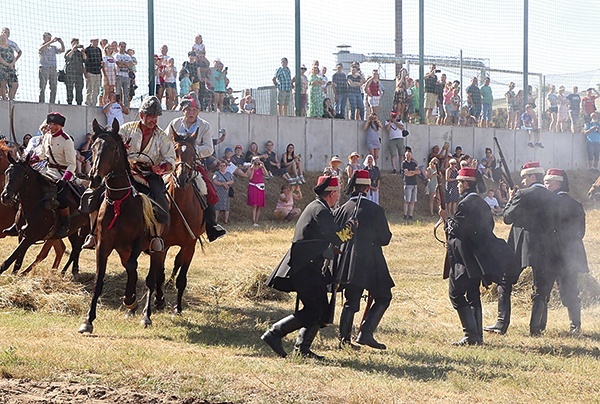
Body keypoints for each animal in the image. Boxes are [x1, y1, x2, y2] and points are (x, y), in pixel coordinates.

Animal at [0, 148, 87, 278]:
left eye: (23, 175)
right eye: (7, 172)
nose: (6, 197)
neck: (34, 205)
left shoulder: (30, 238)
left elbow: (10, 260)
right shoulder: (21, 235)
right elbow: (17, 262)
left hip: (86, 228)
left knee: (74, 249)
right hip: (71, 231)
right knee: (72, 247)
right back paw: (70, 270)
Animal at [78, 119, 165, 334]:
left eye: (113, 148)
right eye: (93, 147)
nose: (94, 178)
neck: (120, 201)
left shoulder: (137, 242)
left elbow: (134, 269)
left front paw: (130, 299)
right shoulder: (103, 245)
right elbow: (99, 279)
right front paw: (88, 320)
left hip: (157, 249)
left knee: (150, 278)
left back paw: (145, 315)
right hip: (123, 250)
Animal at [155, 124, 206, 314]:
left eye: (193, 153)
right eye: (174, 151)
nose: (181, 178)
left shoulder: (190, 245)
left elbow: (182, 277)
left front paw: (178, 306)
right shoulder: (162, 244)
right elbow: (159, 273)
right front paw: (159, 300)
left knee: (177, 261)